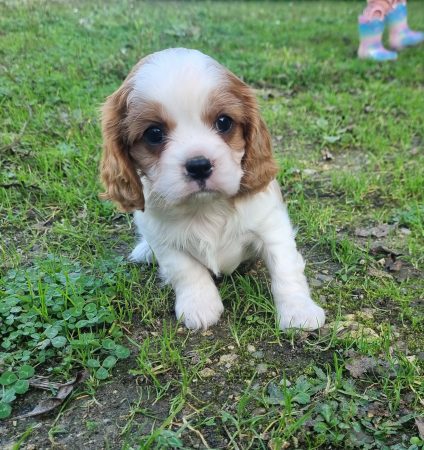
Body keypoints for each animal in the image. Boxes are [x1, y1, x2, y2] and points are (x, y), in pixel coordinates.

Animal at [101, 48, 326, 330]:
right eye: (154, 133)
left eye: (223, 122)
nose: (198, 165)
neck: (206, 205)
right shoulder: (162, 238)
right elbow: (184, 269)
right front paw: (199, 305)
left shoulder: (271, 224)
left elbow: (284, 267)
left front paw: (298, 311)